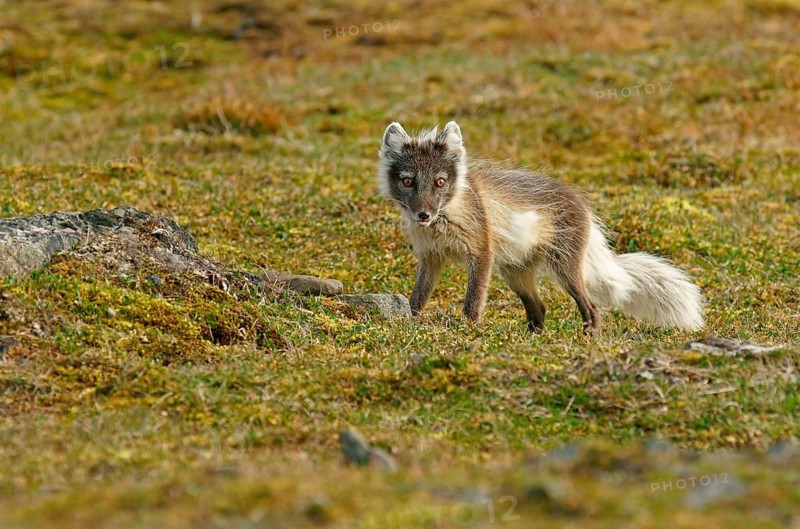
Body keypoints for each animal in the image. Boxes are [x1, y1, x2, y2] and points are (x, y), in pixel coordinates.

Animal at [377, 121, 704, 334]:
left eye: (440, 182)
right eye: (408, 181)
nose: (423, 214)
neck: (445, 219)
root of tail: (581, 203)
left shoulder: (482, 254)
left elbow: (473, 300)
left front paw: (468, 330)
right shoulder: (431, 258)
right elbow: (418, 297)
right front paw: (411, 321)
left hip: (565, 268)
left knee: (591, 307)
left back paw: (589, 338)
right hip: (515, 273)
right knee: (539, 309)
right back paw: (531, 338)